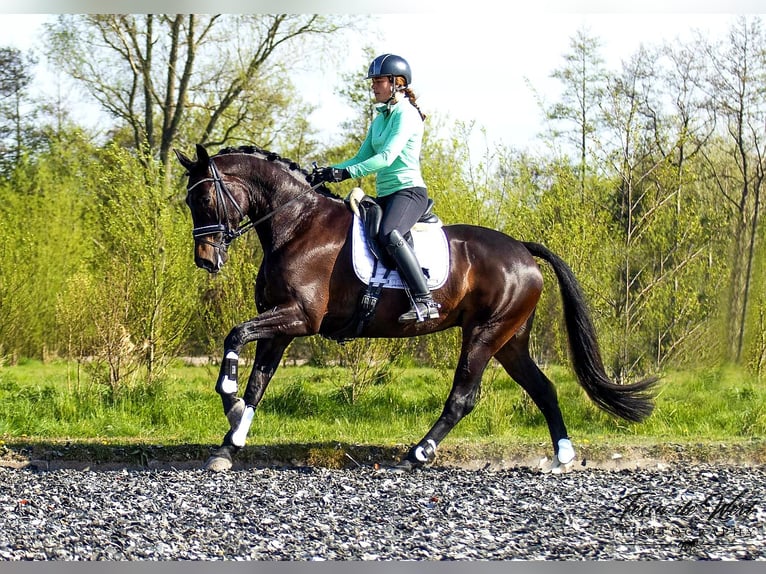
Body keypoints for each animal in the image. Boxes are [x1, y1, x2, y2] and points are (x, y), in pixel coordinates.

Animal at [176, 143, 660, 472]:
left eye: (205, 199)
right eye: (189, 201)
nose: (205, 259)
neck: (296, 225)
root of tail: (522, 250)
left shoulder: (299, 318)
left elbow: (235, 335)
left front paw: (227, 397)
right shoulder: (280, 325)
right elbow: (257, 382)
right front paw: (229, 441)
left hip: (484, 335)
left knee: (463, 398)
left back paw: (417, 454)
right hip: (510, 339)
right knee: (543, 389)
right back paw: (562, 455)